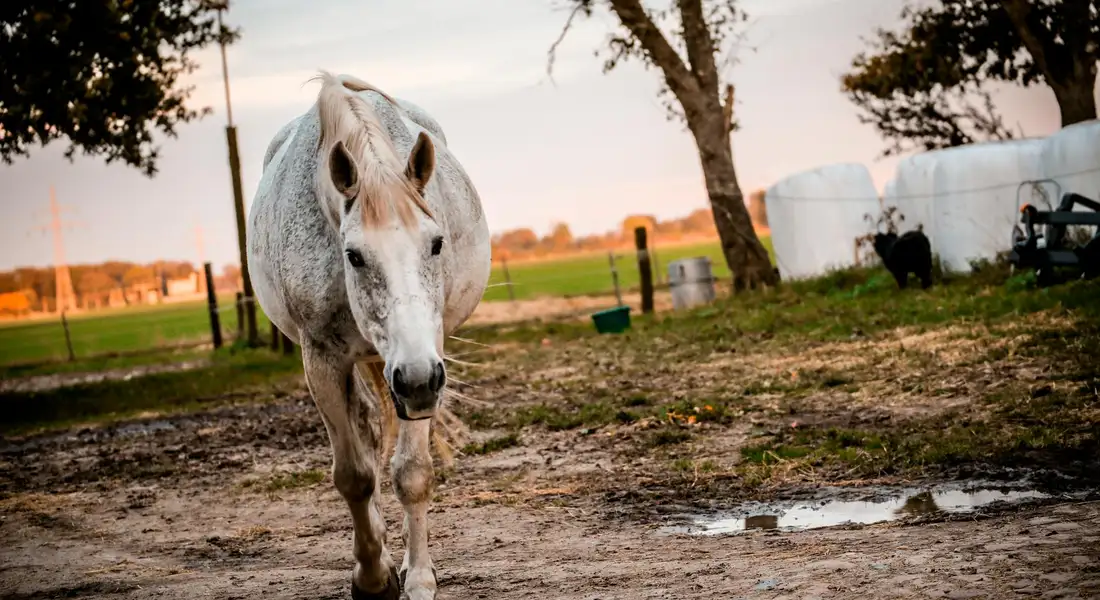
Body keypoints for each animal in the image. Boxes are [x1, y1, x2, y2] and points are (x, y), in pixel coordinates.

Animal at [246, 71, 491, 600]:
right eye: (354, 255)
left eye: (436, 243)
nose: (416, 378)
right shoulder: (322, 360)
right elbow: (355, 475)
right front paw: (374, 578)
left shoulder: (426, 365)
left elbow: (412, 473)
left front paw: (418, 578)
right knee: (362, 429)